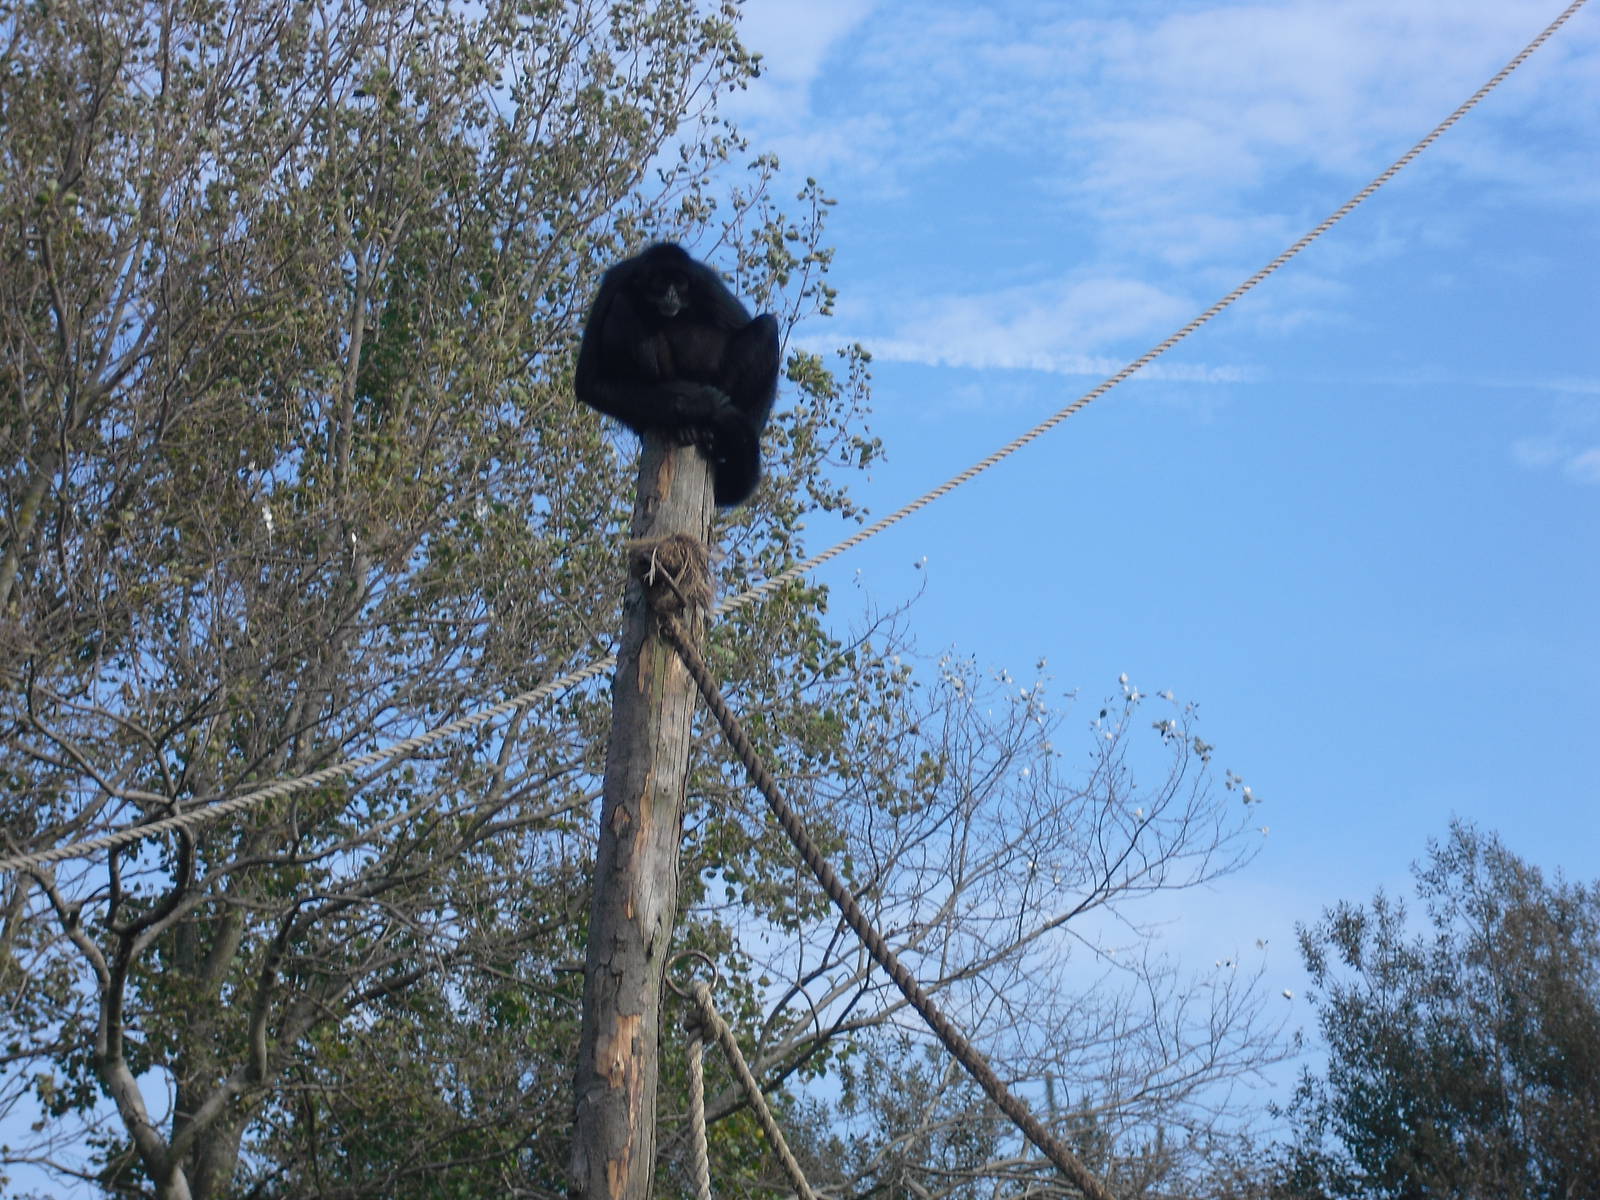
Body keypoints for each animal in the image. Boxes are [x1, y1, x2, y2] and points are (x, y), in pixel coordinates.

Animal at [575, 243, 779, 507]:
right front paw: (701, 402)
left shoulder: (705, 282)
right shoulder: (616, 280)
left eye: (679, 284)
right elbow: (589, 383)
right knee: (622, 304)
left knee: (767, 327)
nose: (671, 295)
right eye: (662, 283)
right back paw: (684, 423)